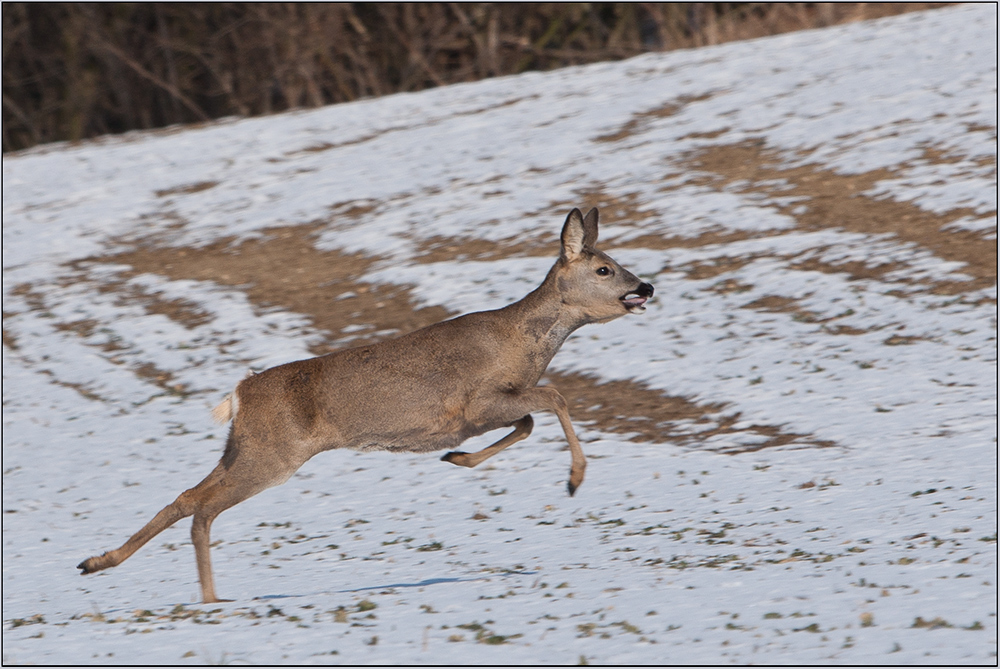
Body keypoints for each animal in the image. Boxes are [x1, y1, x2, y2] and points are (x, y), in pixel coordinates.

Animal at [80, 206, 656, 604]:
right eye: (605, 269)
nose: (647, 286)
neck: (520, 344)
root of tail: (239, 394)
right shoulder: (475, 402)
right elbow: (552, 398)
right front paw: (575, 479)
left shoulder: (484, 413)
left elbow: (530, 420)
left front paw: (457, 460)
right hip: (272, 455)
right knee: (204, 508)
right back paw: (210, 598)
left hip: (242, 448)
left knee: (185, 497)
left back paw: (96, 562)